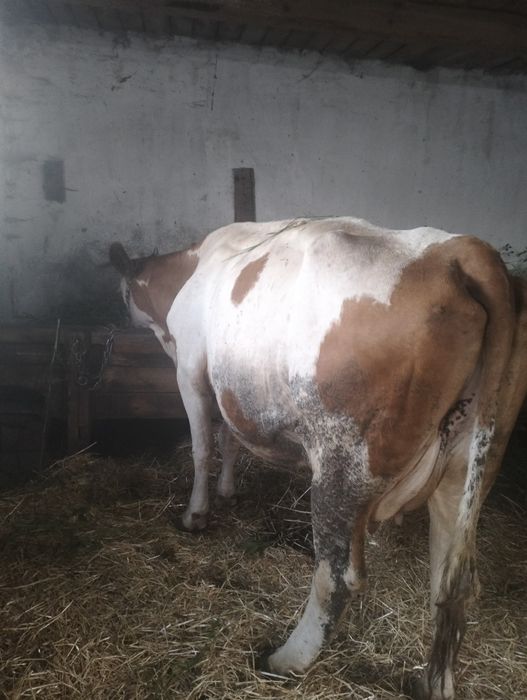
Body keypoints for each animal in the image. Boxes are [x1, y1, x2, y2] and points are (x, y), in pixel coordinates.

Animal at [109, 217, 527, 699]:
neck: (192, 267)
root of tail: (461, 251)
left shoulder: (191, 371)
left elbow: (202, 449)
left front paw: (196, 514)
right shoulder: (227, 386)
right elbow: (230, 440)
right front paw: (228, 492)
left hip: (343, 462)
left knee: (337, 575)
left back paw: (286, 658)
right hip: (470, 464)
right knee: (451, 582)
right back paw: (433, 683)